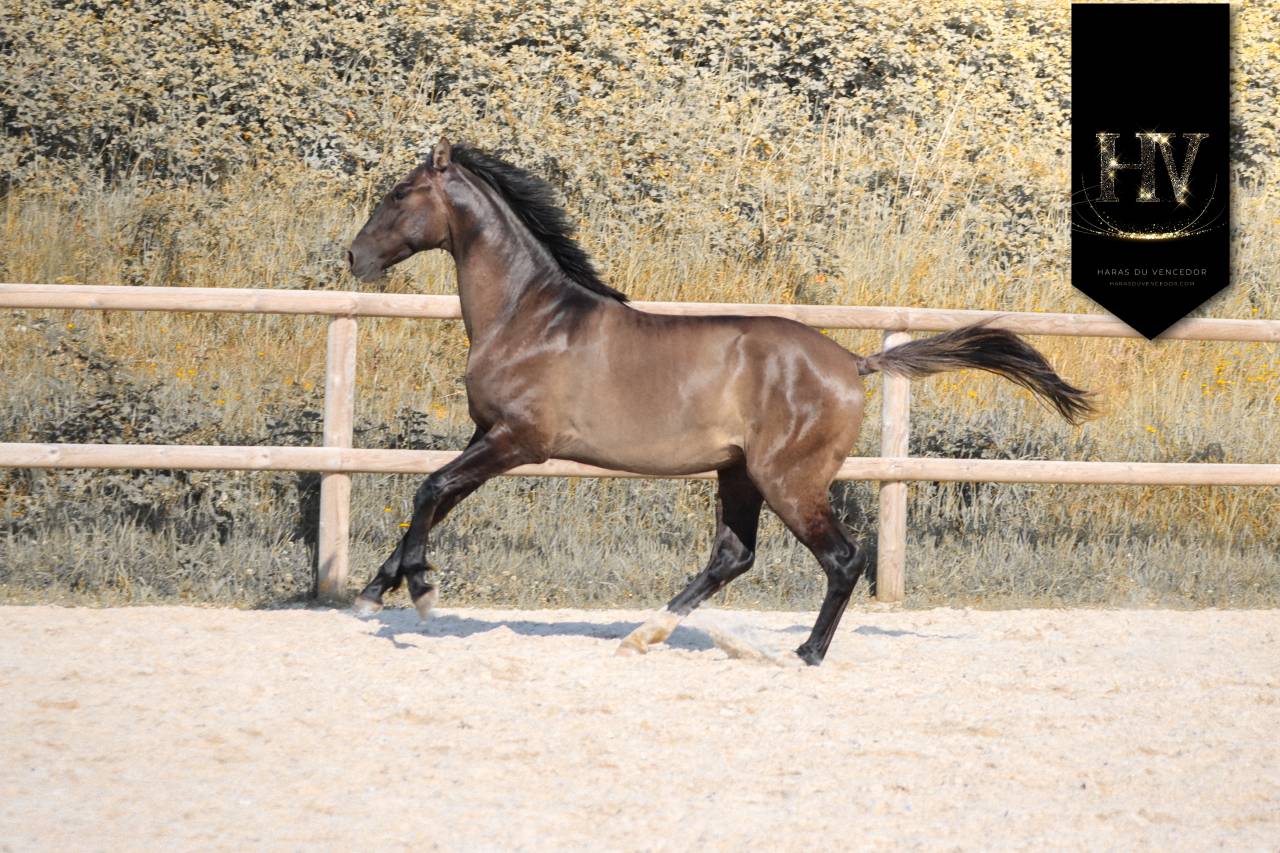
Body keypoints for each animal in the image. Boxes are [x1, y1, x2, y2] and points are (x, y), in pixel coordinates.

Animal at [346, 137, 1095, 666]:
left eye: (399, 193)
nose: (354, 257)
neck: (530, 317)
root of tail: (853, 362)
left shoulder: (517, 441)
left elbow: (430, 489)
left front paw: (418, 591)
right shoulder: (486, 433)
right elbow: (431, 496)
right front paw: (377, 589)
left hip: (787, 479)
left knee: (842, 558)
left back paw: (804, 653)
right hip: (738, 473)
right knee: (733, 556)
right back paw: (646, 633)